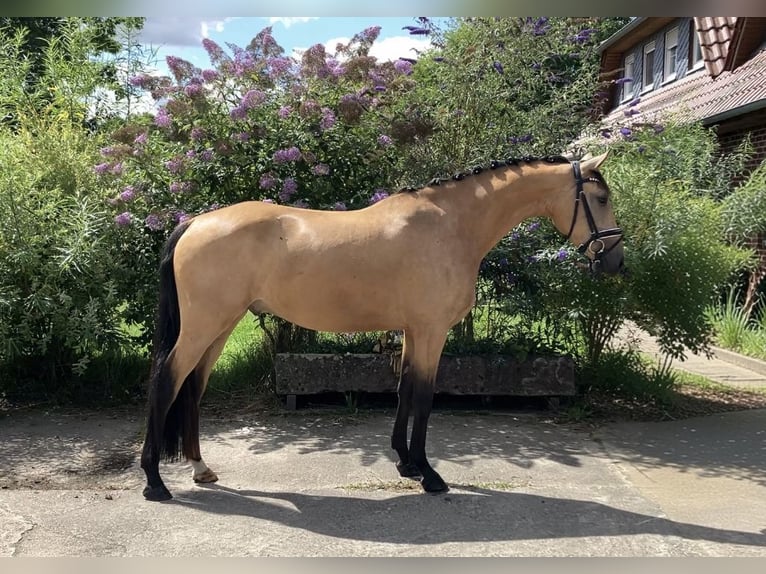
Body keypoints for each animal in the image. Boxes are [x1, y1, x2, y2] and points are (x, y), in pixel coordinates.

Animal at [140, 152, 624, 501]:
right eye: (601, 199)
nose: (615, 263)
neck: (450, 225)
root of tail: (195, 222)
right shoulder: (431, 331)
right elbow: (424, 397)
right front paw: (429, 475)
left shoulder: (412, 331)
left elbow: (404, 391)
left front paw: (406, 463)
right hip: (203, 327)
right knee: (166, 381)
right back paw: (155, 482)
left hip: (220, 327)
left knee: (193, 387)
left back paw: (200, 468)